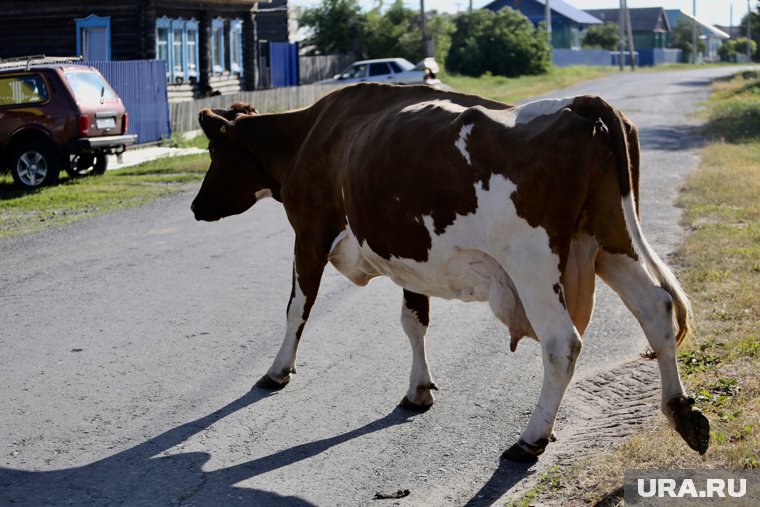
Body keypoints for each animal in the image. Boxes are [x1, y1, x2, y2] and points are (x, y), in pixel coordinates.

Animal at [191, 82, 712, 460]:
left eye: (215, 154)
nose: (195, 207)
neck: (313, 134)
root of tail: (580, 104)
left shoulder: (310, 234)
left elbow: (297, 307)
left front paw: (277, 371)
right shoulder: (408, 259)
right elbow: (414, 321)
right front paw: (418, 391)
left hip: (534, 262)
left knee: (562, 343)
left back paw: (531, 439)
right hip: (610, 241)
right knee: (656, 307)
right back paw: (679, 410)